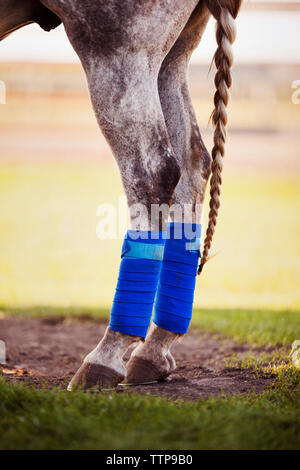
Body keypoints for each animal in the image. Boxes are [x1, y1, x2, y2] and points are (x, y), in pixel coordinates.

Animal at [0, 0, 241, 390]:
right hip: (172, 53)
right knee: (193, 161)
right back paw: (153, 351)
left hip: (116, 45)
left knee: (154, 173)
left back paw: (106, 357)